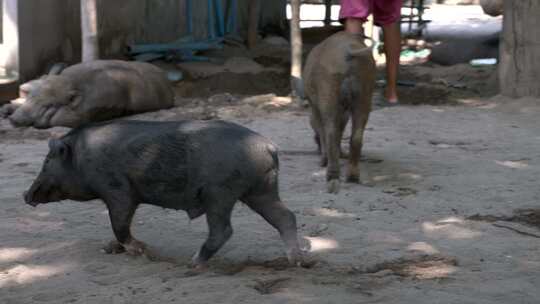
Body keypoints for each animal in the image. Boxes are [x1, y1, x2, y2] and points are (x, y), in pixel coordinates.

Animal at [23, 120, 302, 268]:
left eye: (46, 161)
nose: (26, 195)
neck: (82, 158)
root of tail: (269, 146)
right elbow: (119, 226)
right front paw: (108, 248)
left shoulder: (118, 190)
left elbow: (119, 223)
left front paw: (141, 250)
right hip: (261, 190)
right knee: (286, 217)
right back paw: (296, 261)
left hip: (220, 192)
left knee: (223, 229)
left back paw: (193, 263)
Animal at [304, 30, 376, 192]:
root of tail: (348, 53)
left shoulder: (316, 107)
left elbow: (325, 131)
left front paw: (322, 161)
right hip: (365, 95)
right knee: (356, 136)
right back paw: (352, 177)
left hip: (329, 93)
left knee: (330, 132)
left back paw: (331, 177)